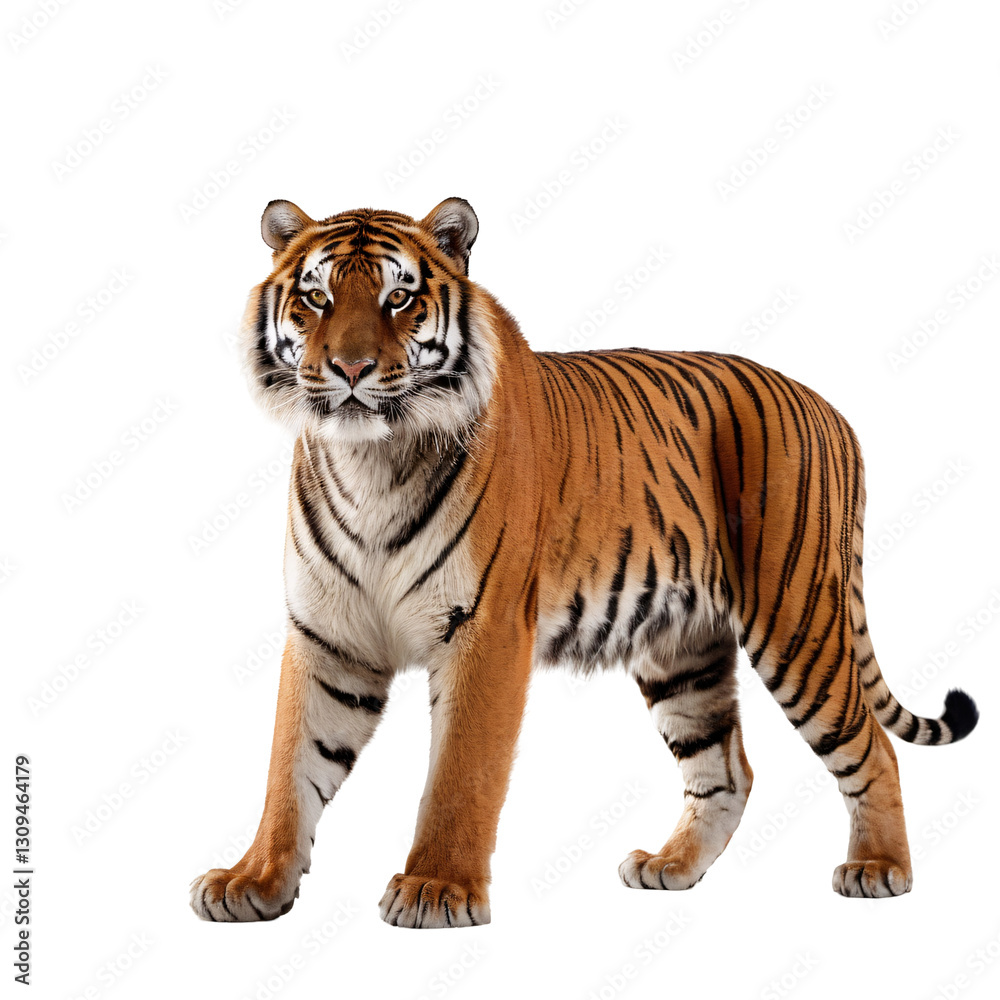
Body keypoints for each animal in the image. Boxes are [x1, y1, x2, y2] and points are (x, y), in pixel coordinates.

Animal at [189, 197, 979, 928]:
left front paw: (436, 888)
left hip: (799, 621)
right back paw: (670, 867)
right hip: (682, 651)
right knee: (726, 770)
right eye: (317, 297)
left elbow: (460, 774)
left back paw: (878, 868)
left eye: (400, 298)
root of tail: (831, 409)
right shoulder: (327, 635)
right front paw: (253, 881)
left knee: (872, 747)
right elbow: (291, 764)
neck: (370, 462)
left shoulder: (486, 630)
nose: (349, 368)